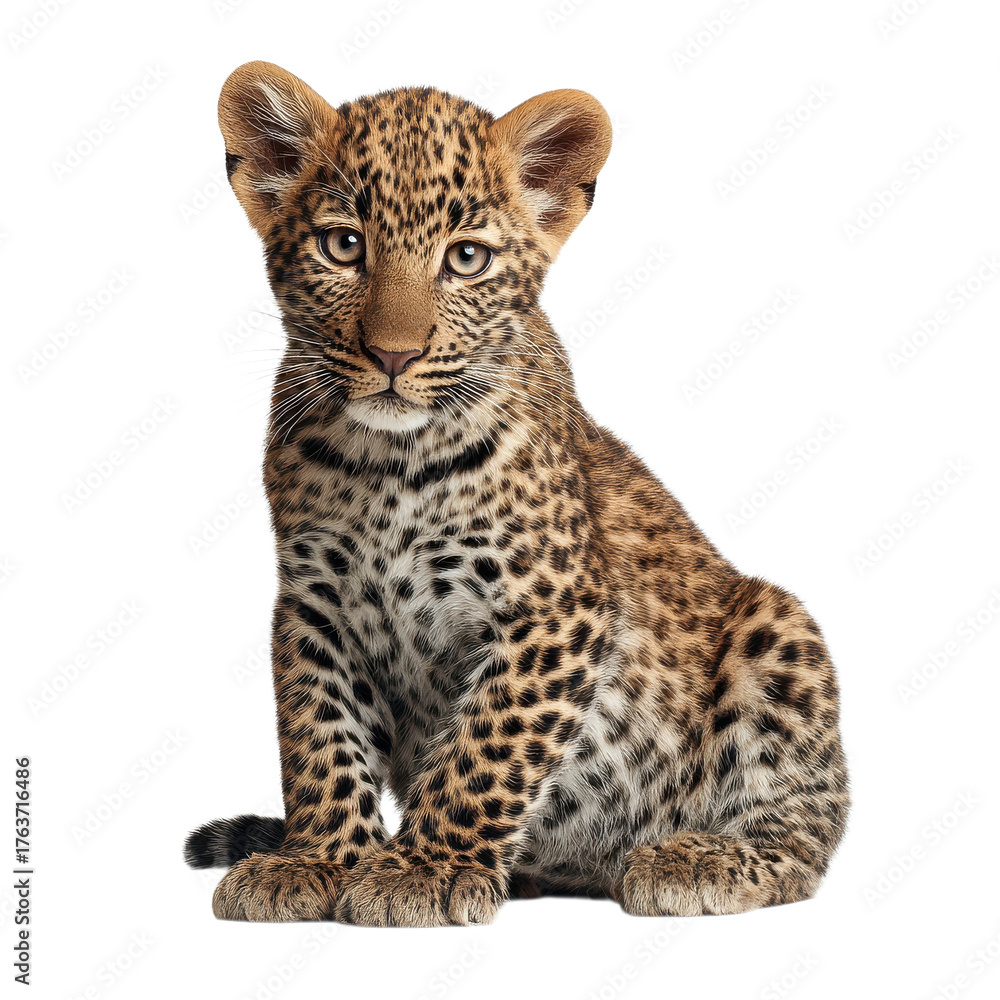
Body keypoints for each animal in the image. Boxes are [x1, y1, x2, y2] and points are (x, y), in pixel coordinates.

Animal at [183, 61, 849, 926]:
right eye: (343, 245)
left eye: (466, 258)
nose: (394, 355)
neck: (391, 464)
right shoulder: (313, 603)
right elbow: (318, 735)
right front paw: (317, 860)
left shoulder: (553, 607)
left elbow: (485, 747)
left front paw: (422, 870)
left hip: (779, 631)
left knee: (803, 836)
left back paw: (694, 859)